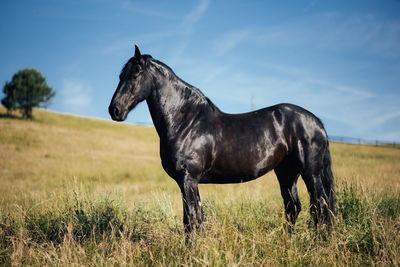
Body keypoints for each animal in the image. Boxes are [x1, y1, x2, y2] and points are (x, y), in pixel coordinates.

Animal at [108, 45, 334, 234]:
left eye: (135, 74)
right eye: (120, 75)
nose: (114, 110)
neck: (186, 121)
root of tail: (317, 122)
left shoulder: (187, 178)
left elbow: (190, 220)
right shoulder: (191, 181)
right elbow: (198, 219)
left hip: (309, 173)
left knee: (321, 207)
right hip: (287, 172)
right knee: (294, 207)